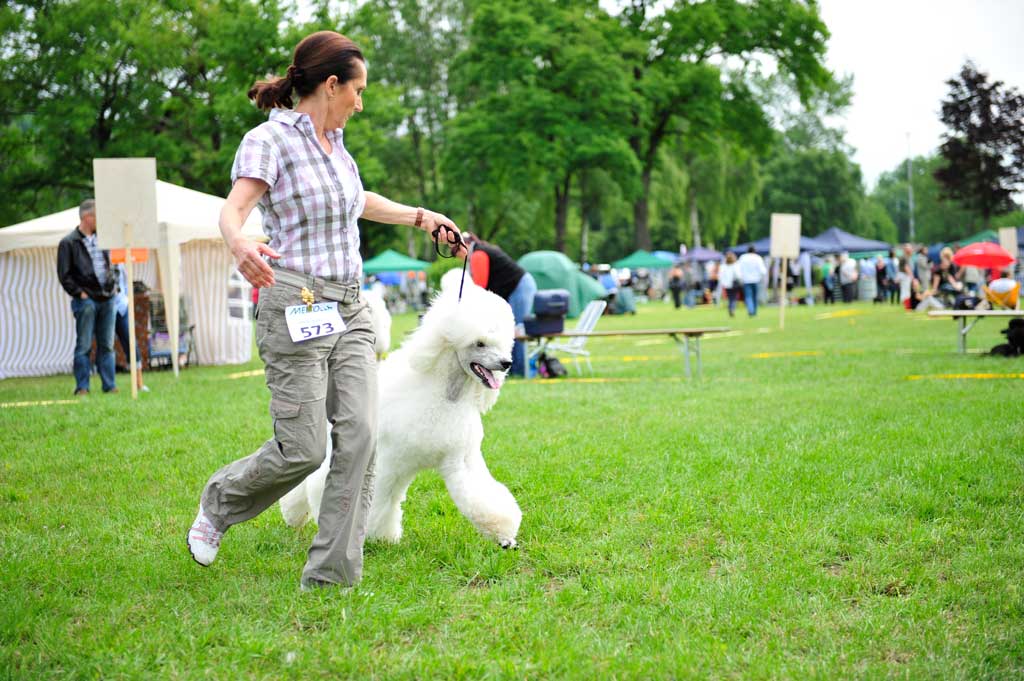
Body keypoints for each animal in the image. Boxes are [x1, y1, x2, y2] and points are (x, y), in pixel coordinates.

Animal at [279, 269, 522, 548]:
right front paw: (379, 535)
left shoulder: (459, 459)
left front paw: (504, 534)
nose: (506, 363)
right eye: (480, 343)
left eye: (502, 343)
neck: (445, 396)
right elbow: (383, 499)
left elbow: (480, 495)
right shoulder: (393, 460)